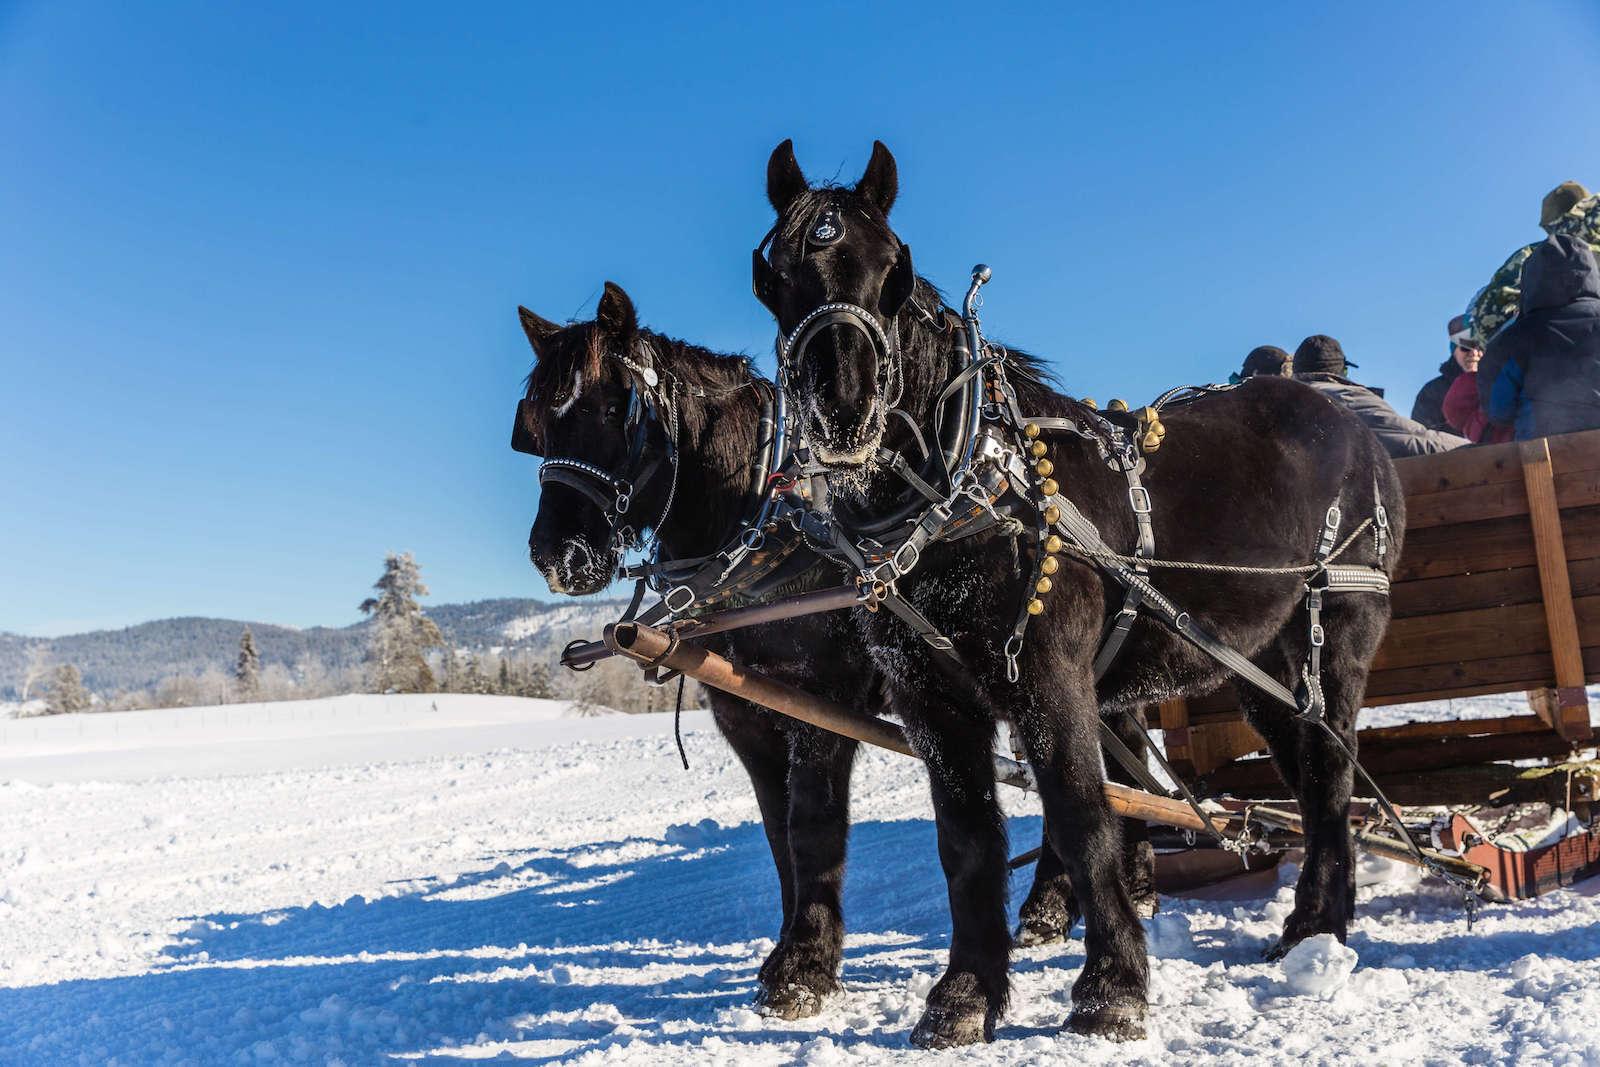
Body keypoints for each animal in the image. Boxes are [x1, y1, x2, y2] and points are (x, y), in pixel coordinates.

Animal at [748, 137, 1401, 1049]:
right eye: (772, 274)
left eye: (892, 269)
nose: (845, 409)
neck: (965, 490)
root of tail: (1357, 432)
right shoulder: (930, 698)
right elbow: (967, 843)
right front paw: (964, 993)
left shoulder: (1049, 678)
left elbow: (1083, 817)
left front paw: (1112, 985)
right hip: (1261, 668)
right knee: (1308, 780)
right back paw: (1317, 925)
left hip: (1333, 643)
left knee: (1333, 781)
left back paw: (1320, 928)